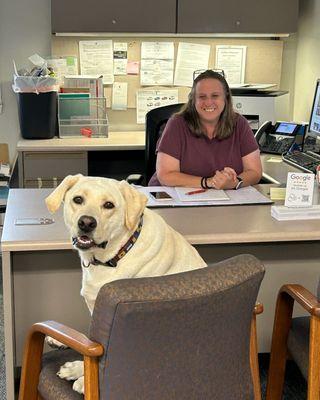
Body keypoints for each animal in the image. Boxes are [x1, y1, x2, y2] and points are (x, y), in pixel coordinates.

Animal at [45, 173, 206, 392]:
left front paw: (85, 380)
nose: (86, 223)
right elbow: (93, 340)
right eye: (78, 199)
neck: (117, 254)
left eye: (109, 205)